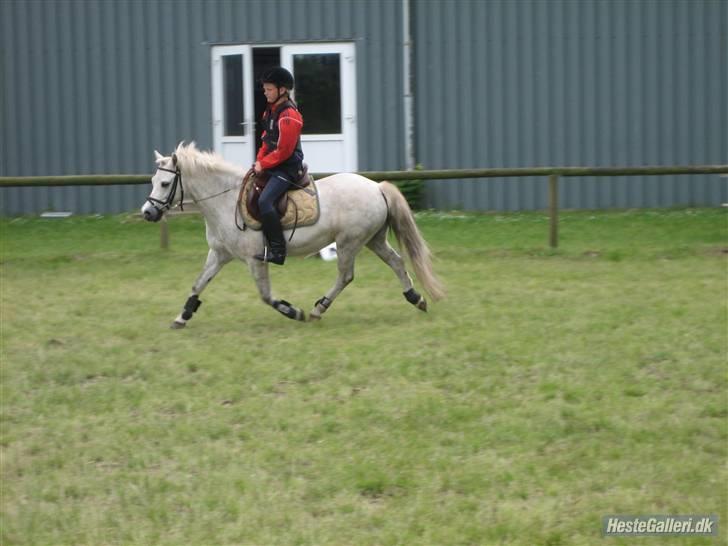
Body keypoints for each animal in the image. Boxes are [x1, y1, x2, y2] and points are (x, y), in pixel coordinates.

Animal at [138, 142, 444, 326]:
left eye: (164, 183)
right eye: (153, 181)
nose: (148, 213)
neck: (223, 201)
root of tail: (376, 187)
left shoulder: (255, 259)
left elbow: (265, 295)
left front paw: (293, 311)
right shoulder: (219, 254)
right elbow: (198, 283)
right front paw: (183, 315)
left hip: (349, 242)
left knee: (345, 276)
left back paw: (318, 309)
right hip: (373, 239)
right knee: (396, 262)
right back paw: (416, 298)